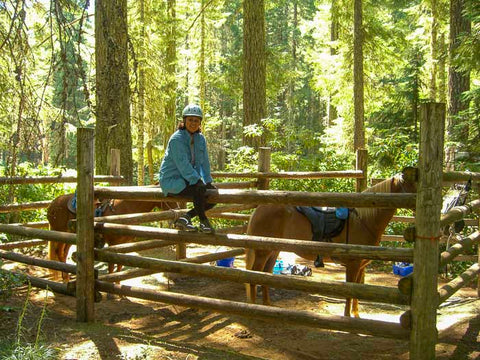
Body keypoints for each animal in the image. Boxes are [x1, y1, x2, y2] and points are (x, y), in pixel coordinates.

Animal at [48, 194, 180, 282]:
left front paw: (118, 284)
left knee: (64, 253)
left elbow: (120, 265)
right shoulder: (113, 243)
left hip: (70, 236)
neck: (127, 209)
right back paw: (65, 279)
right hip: (60, 232)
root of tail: (52, 205)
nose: (179, 211)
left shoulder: (125, 243)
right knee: (59, 252)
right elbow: (112, 265)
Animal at [246, 170, 414, 316]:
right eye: (411, 183)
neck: (363, 221)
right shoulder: (353, 266)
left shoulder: (360, 267)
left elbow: (357, 293)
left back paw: (267, 306)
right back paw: (252, 307)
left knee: (265, 274)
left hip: (273, 251)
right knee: (254, 275)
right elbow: (349, 293)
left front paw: (356, 316)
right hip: (262, 252)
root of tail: (259, 209)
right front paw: (347, 318)